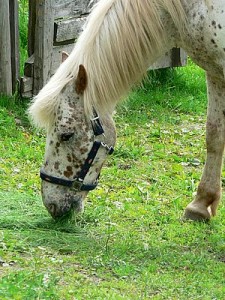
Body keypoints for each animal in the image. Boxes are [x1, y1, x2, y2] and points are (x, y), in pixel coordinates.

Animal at [29, 0, 225, 220]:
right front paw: (200, 205)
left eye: (66, 135)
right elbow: (214, 136)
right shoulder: (215, 72)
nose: (51, 205)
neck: (194, 7)